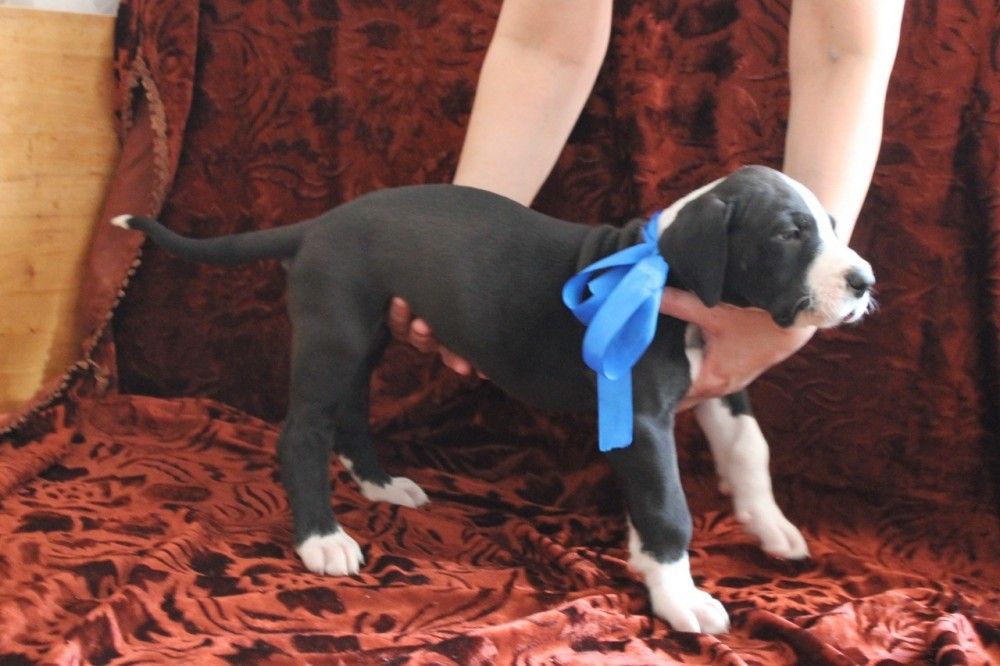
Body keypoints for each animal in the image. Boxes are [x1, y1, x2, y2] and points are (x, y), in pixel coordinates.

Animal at [112, 165, 874, 634]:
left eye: (834, 226)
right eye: (789, 233)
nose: (865, 281)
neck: (666, 272)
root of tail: (321, 224)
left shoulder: (720, 383)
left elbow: (749, 453)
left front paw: (768, 529)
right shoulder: (644, 415)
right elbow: (669, 505)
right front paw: (679, 595)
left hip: (363, 335)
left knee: (350, 413)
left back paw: (381, 484)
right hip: (334, 331)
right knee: (302, 431)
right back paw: (322, 540)